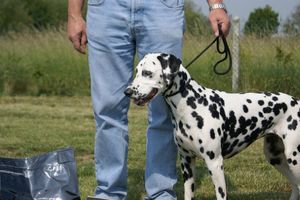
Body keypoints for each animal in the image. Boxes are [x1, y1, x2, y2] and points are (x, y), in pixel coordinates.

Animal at [123, 52, 300, 199]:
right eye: (137, 71)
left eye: (147, 73)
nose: (127, 92)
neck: (192, 103)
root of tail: (296, 101)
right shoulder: (186, 162)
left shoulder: (214, 162)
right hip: (276, 157)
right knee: (296, 186)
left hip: (294, 158)